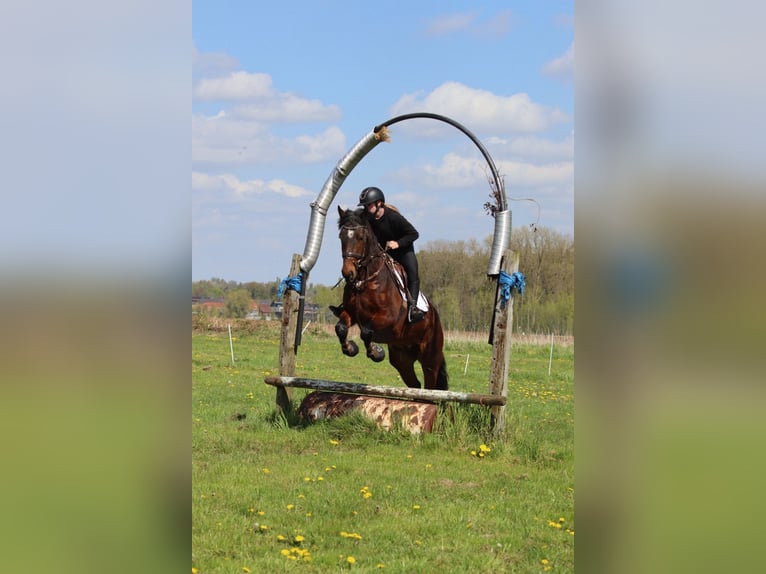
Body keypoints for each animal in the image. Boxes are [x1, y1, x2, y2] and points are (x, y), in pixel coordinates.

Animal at [332, 205, 448, 390]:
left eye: (360, 237)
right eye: (341, 236)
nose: (348, 273)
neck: (366, 279)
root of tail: (436, 318)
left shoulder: (388, 319)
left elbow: (366, 332)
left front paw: (376, 352)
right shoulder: (352, 314)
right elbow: (341, 328)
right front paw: (350, 348)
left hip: (430, 358)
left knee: (431, 384)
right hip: (402, 359)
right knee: (415, 384)